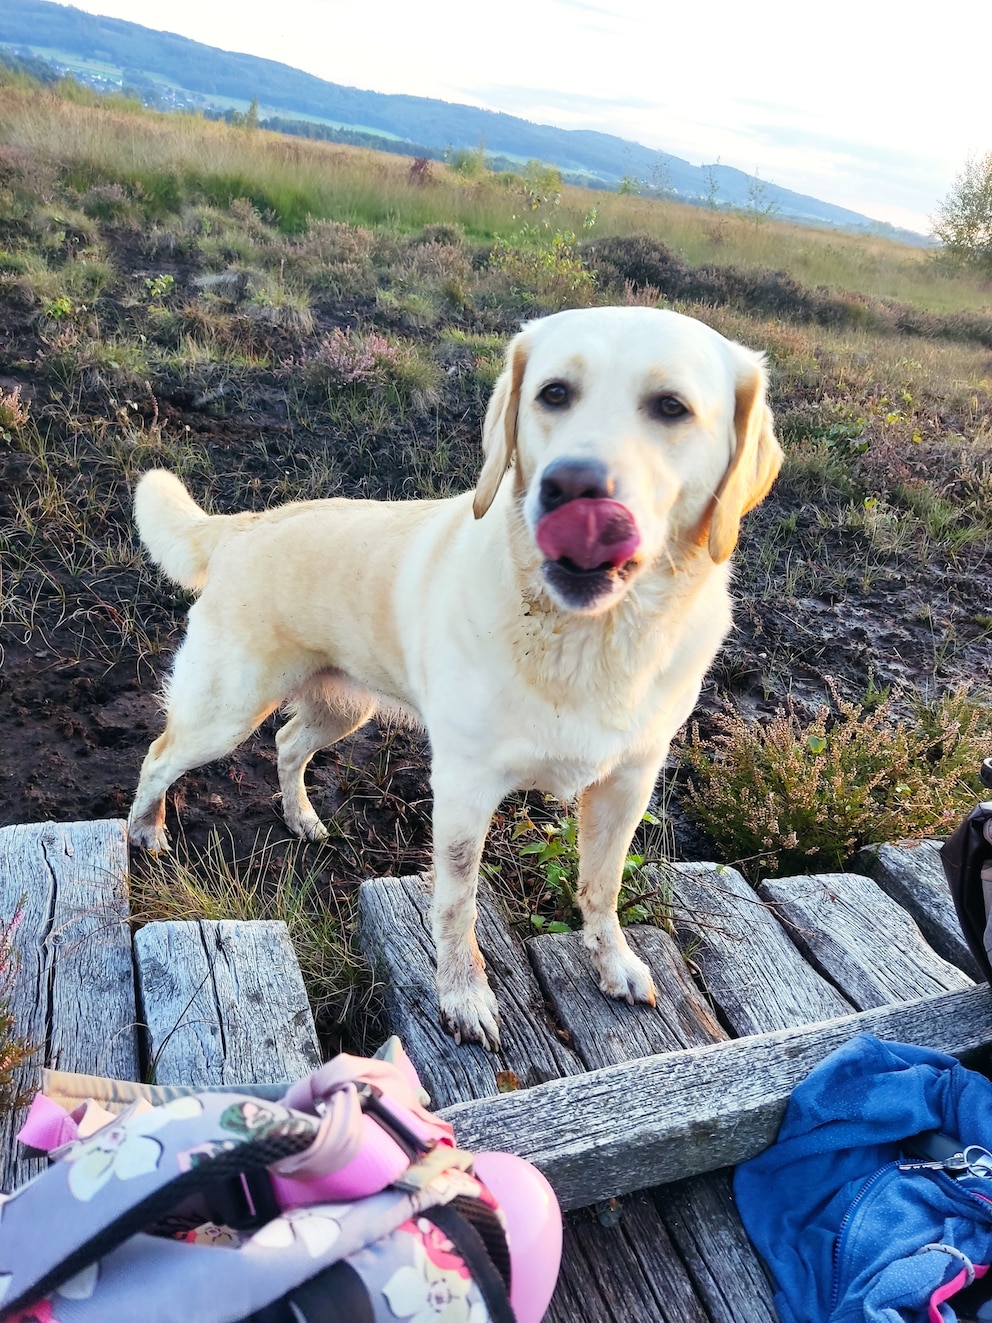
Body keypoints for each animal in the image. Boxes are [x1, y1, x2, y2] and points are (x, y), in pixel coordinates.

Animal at [128, 304, 783, 1047]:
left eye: (672, 407)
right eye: (553, 394)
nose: (572, 490)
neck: (589, 635)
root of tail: (243, 525)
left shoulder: (627, 782)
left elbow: (602, 885)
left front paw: (613, 962)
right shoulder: (466, 787)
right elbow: (457, 904)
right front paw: (463, 998)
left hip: (341, 706)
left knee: (289, 744)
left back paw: (302, 819)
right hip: (227, 707)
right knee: (161, 753)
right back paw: (146, 831)